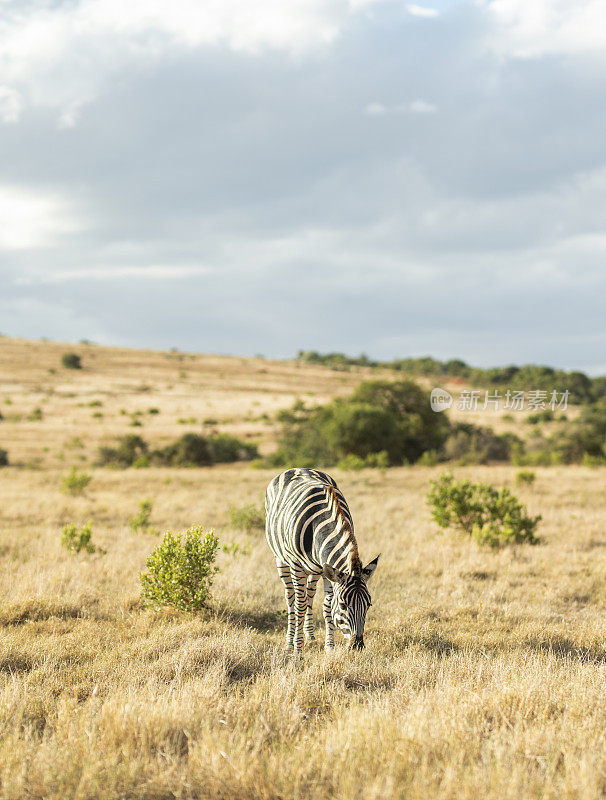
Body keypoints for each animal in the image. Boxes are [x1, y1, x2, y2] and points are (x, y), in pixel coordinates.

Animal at [266, 468, 380, 656]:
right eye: (343, 605)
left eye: (368, 605)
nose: (357, 646)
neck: (319, 527)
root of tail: (298, 468)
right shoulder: (298, 567)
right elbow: (300, 607)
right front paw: (298, 650)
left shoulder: (328, 569)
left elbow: (326, 607)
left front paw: (329, 647)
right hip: (281, 559)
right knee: (291, 598)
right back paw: (289, 642)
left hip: (315, 569)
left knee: (310, 595)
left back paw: (310, 636)